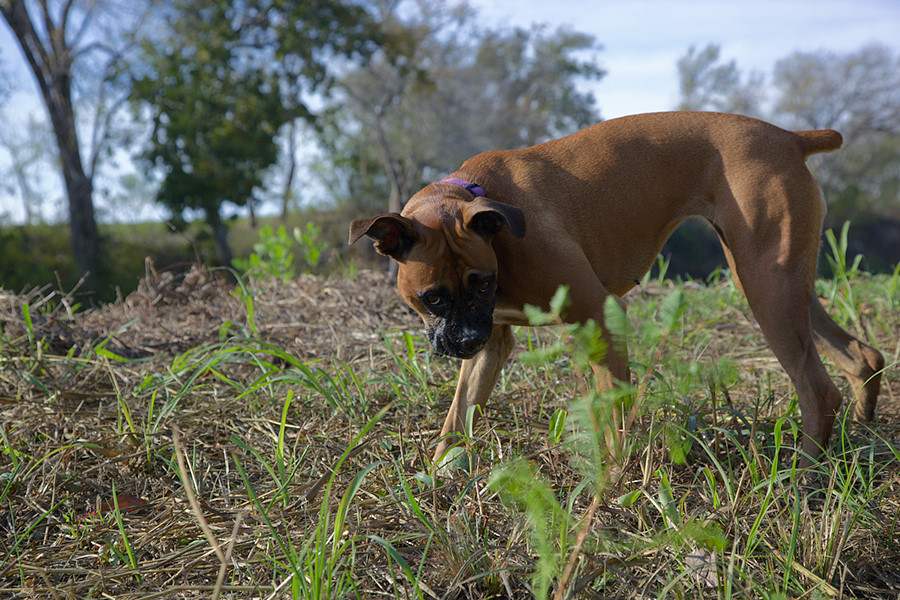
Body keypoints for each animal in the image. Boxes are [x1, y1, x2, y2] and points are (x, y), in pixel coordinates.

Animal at [348, 112, 884, 468]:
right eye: (433, 296)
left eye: (481, 282)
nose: (464, 341)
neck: (488, 209)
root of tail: (790, 138)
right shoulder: (493, 344)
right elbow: (457, 416)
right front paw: (440, 475)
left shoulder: (598, 319)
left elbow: (613, 419)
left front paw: (610, 489)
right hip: (779, 280)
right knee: (862, 357)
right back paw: (861, 438)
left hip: (767, 287)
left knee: (818, 390)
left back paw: (804, 479)